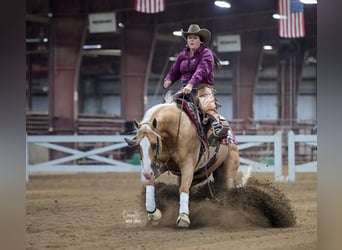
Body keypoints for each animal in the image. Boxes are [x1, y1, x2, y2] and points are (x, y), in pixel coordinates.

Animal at [130, 93, 239, 228]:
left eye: (154, 145)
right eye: (138, 146)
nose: (146, 173)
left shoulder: (188, 166)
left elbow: (183, 188)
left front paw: (183, 217)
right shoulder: (158, 166)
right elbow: (150, 183)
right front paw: (153, 214)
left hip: (228, 168)